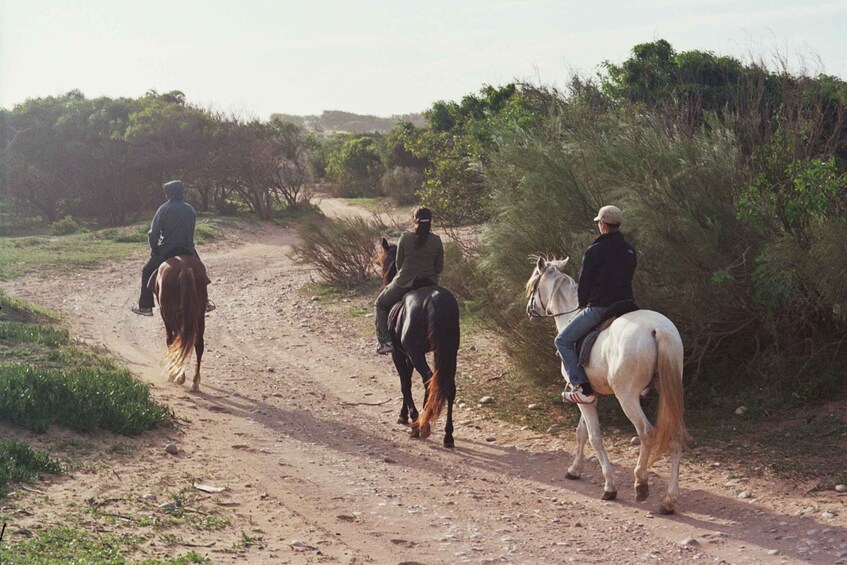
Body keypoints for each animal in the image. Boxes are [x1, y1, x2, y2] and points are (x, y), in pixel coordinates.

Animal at [152, 256, 208, 392]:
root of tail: (184, 267)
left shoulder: (165, 314)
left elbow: (170, 340)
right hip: (199, 313)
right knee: (199, 343)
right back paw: (195, 382)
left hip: (170, 314)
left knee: (179, 339)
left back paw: (178, 376)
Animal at [378, 237, 460, 446]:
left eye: (384, 263)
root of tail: (434, 299)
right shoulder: (409, 355)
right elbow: (407, 379)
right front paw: (406, 415)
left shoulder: (399, 354)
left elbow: (404, 383)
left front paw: (410, 416)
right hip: (448, 352)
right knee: (447, 386)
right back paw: (447, 435)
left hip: (416, 353)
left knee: (428, 379)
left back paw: (420, 425)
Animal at [528, 258, 684, 512]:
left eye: (533, 284)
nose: (530, 311)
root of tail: (657, 329)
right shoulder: (589, 395)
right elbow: (581, 432)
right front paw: (574, 470)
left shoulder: (584, 398)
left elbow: (594, 436)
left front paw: (610, 486)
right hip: (668, 391)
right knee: (676, 436)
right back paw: (669, 500)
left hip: (627, 397)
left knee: (646, 432)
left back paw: (641, 482)